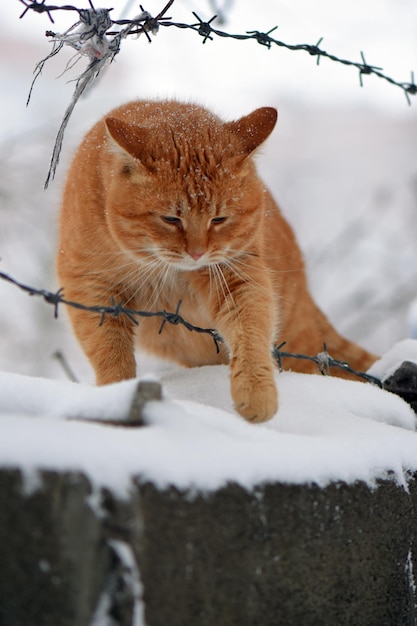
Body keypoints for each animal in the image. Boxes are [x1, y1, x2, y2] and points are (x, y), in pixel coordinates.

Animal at [56, 100, 376, 422]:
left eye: (219, 219)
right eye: (171, 219)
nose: (197, 252)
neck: (166, 272)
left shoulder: (238, 276)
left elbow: (251, 333)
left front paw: (256, 392)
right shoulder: (91, 287)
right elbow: (110, 352)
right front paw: (117, 393)